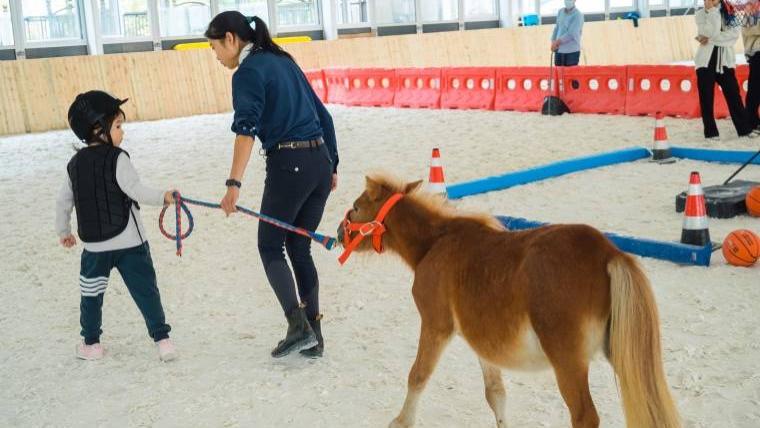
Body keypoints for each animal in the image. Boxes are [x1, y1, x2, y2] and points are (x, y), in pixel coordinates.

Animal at [337, 174, 680, 428]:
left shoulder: (436, 325)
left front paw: (400, 420)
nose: (339, 232)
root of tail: (609, 252)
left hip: (568, 362)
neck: (434, 244)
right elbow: (496, 394)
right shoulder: (481, 340)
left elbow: (418, 376)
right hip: (622, 352)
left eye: (356, 206)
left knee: (585, 416)